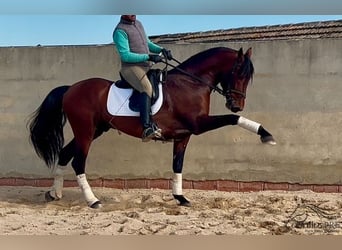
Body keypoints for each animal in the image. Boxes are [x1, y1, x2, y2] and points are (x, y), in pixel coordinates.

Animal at [28, 46, 276, 209]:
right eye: (238, 72)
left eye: (248, 76)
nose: (236, 104)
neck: (191, 83)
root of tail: (70, 88)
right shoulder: (198, 124)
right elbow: (233, 119)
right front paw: (267, 135)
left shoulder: (184, 135)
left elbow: (177, 165)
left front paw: (181, 198)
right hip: (86, 131)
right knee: (78, 162)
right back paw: (93, 201)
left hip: (95, 130)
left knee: (64, 154)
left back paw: (54, 194)